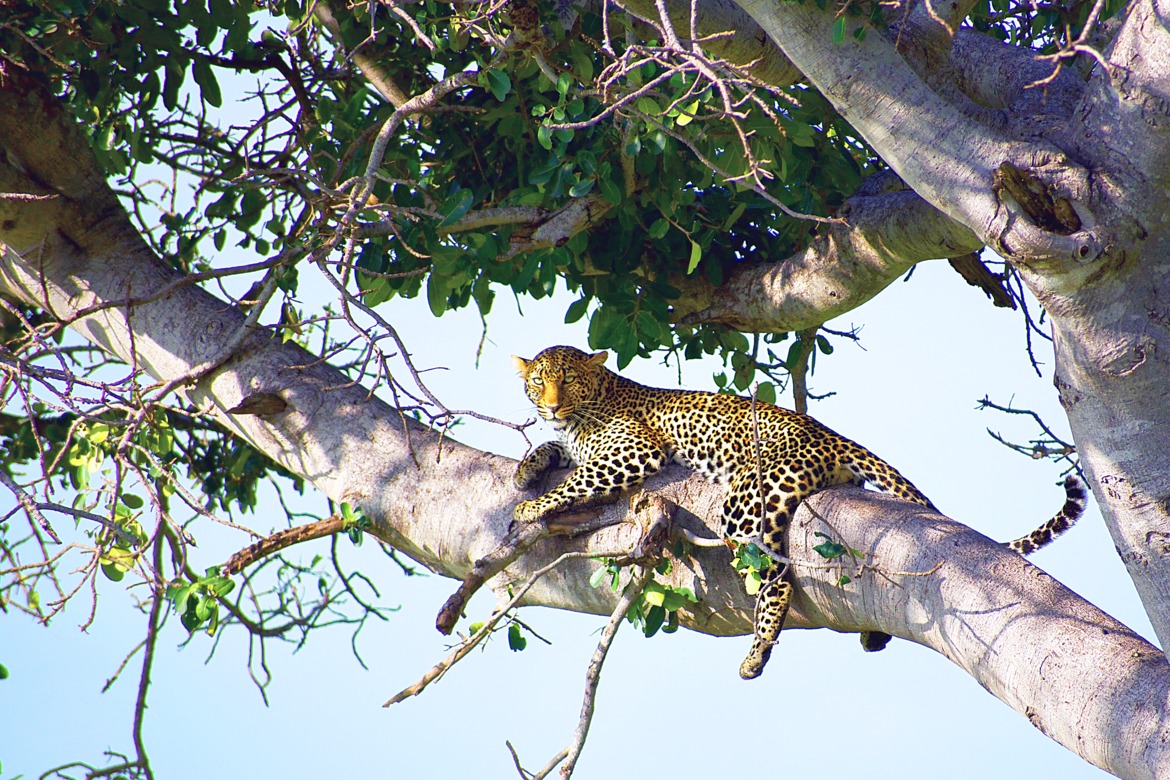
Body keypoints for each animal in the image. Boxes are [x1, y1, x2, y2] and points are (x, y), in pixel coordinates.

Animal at [511, 345, 1087, 679]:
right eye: (538, 383)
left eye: (569, 380)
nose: (551, 405)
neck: (590, 405)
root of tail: (830, 434)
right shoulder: (573, 442)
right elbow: (551, 449)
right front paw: (524, 470)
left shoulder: (637, 451)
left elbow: (581, 478)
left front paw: (531, 505)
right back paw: (871, 636)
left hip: (747, 500)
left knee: (777, 574)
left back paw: (757, 652)